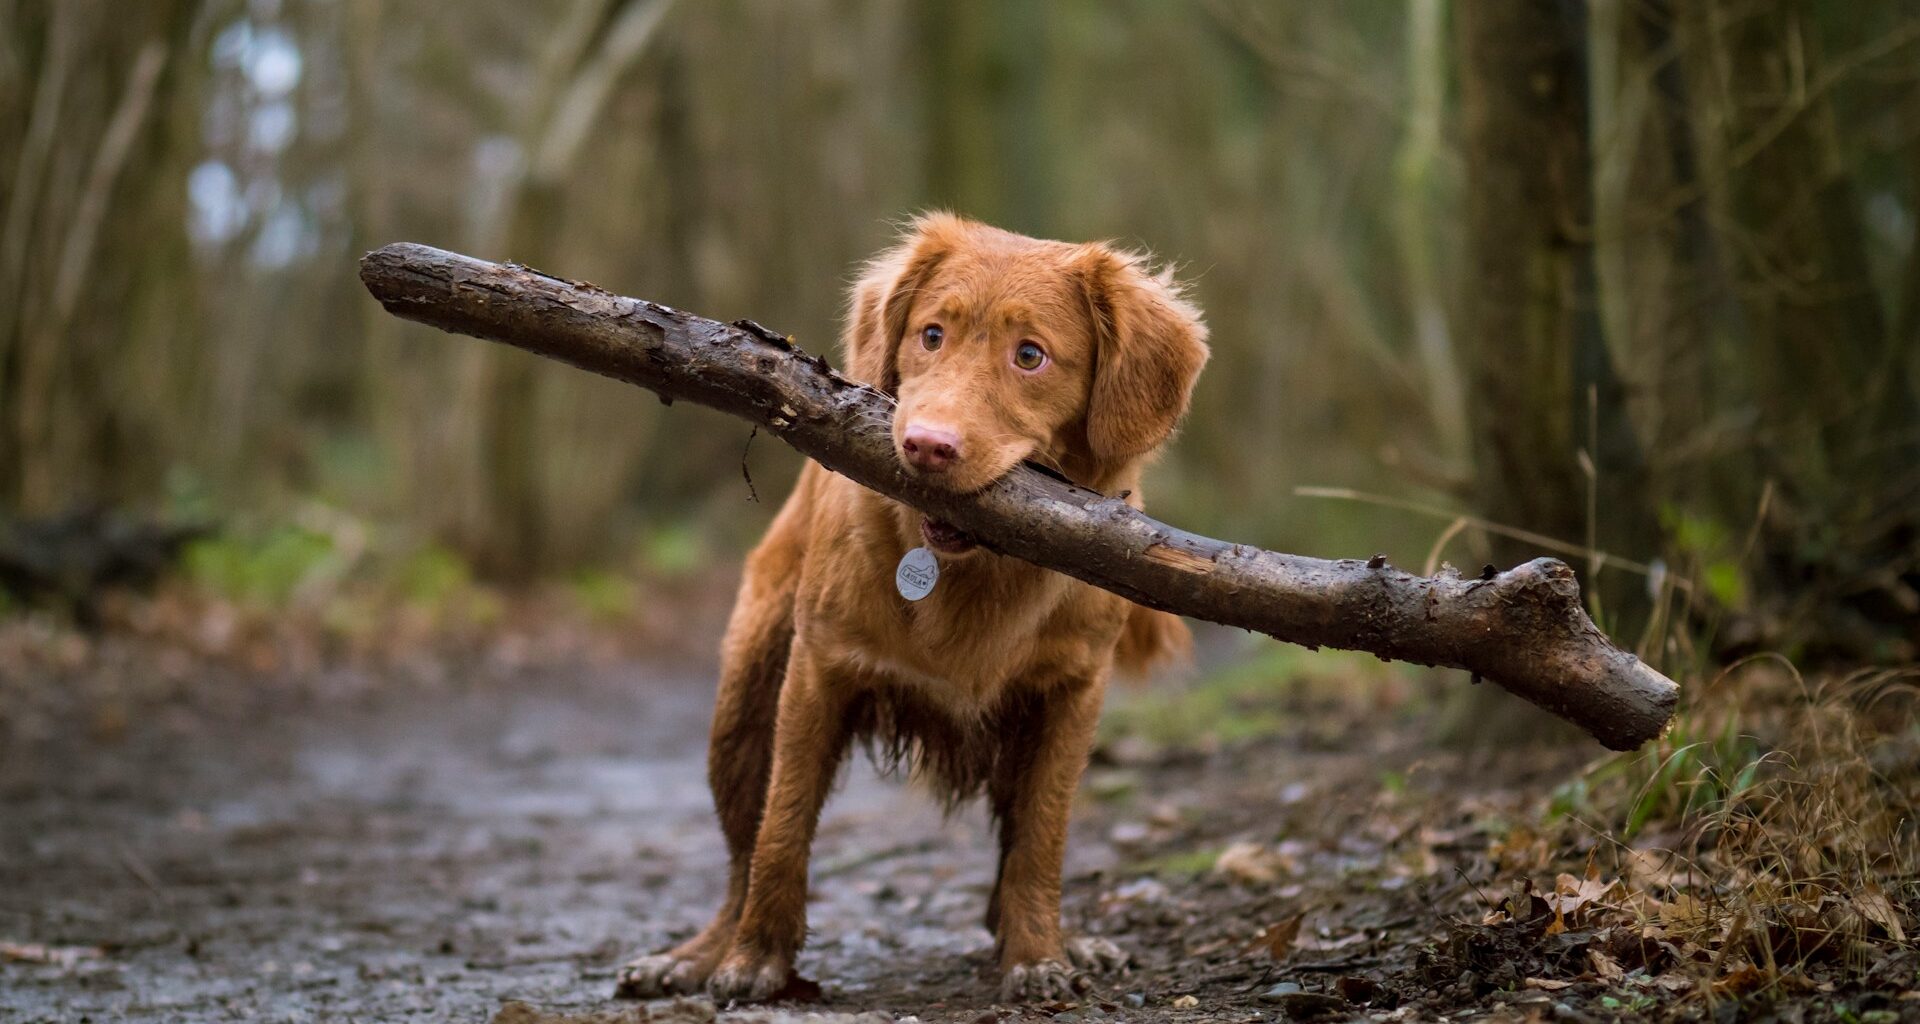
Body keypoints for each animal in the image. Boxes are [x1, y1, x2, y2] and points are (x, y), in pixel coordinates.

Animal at [614, 213, 1205, 999]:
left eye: (1030, 356)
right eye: (932, 334)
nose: (926, 446)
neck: (975, 571)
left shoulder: (1072, 694)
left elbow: (1041, 837)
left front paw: (1038, 955)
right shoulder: (818, 671)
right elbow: (782, 827)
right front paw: (756, 960)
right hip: (743, 702)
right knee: (742, 851)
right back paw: (700, 954)